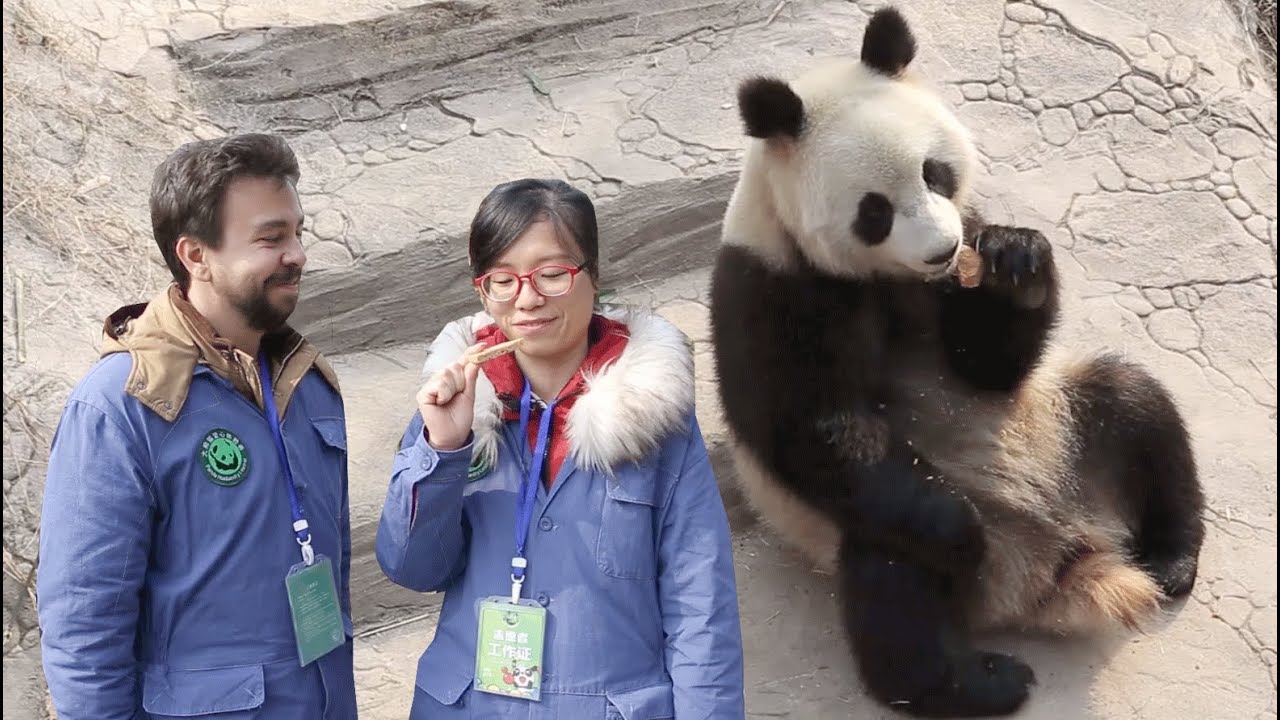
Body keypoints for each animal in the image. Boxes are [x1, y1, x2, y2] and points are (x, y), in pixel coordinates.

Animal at [708, 6, 1205, 718]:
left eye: (934, 172)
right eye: (874, 211)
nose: (942, 249)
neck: (887, 279)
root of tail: (1052, 570)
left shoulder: (961, 245)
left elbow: (991, 367)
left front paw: (1017, 261)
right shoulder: (770, 290)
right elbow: (815, 429)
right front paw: (961, 530)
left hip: (1062, 425)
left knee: (1134, 404)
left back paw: (1169, 561)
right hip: (900, 540)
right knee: (895, 583)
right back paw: (980, 679)